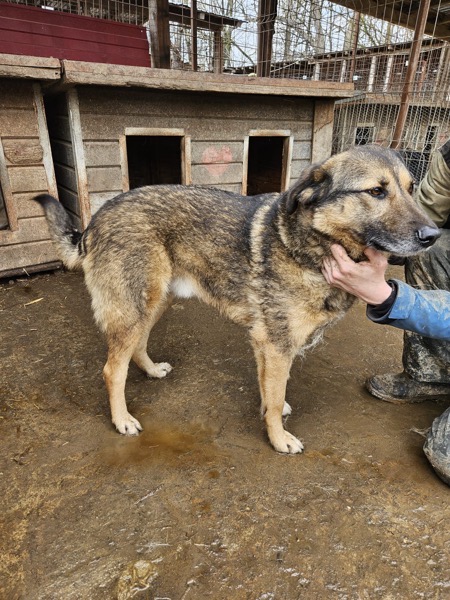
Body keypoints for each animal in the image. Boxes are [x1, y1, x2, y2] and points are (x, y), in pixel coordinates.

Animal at [35, 145, 440, 453]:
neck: (310, 244)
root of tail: (96, 218)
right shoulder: (276, 343)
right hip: (134, 306)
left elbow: (270, 389)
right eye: (376, 191)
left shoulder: (266, 343)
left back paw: (150, 370)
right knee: (112, 370)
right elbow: (274, 397)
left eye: (411, 188)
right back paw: (122, 420)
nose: (433, 235)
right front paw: (278, 438)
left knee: (137, 345)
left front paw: (272, 413)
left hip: (155, 302)